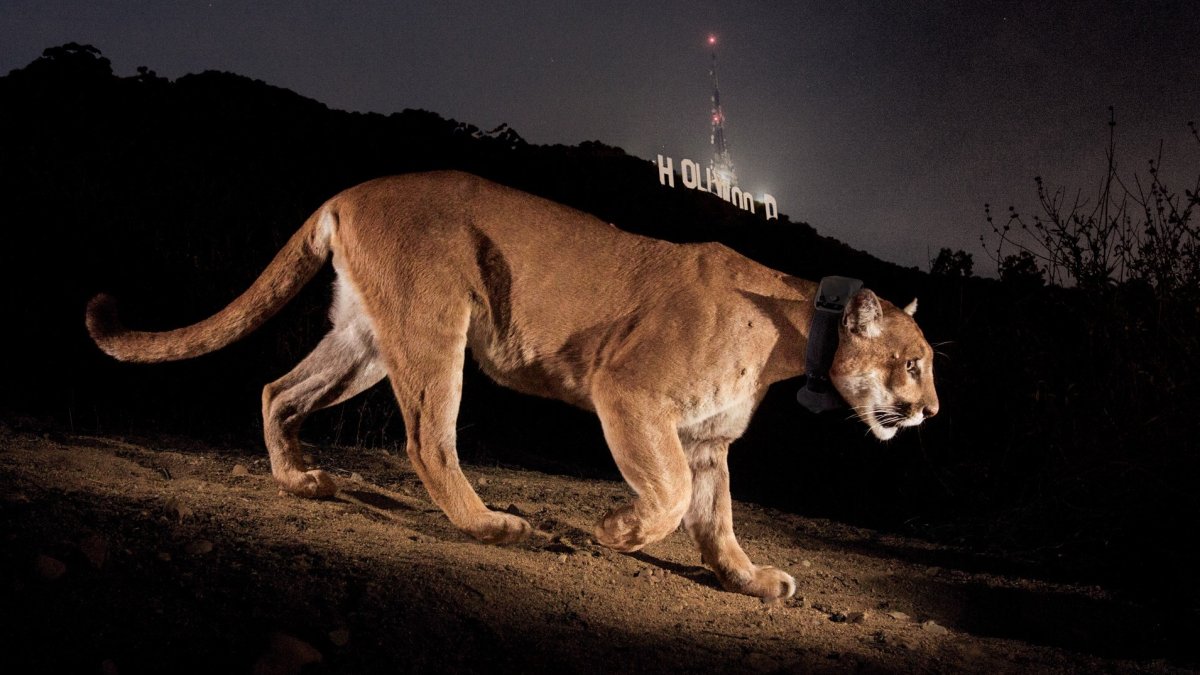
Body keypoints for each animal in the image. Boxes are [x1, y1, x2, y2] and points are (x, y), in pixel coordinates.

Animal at [86, 171, 938, 600]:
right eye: (915, 361)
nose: (931, 409)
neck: (794, 332)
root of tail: (352, 191)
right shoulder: (630, 394)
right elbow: (666, 497)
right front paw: (615, 529)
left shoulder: (706, 439)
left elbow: (715, 520)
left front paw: (752, 578)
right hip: (435, 323)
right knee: (428, 438)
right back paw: (495, 525)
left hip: (365, 339)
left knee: (277, 389)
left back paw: (300, 479)